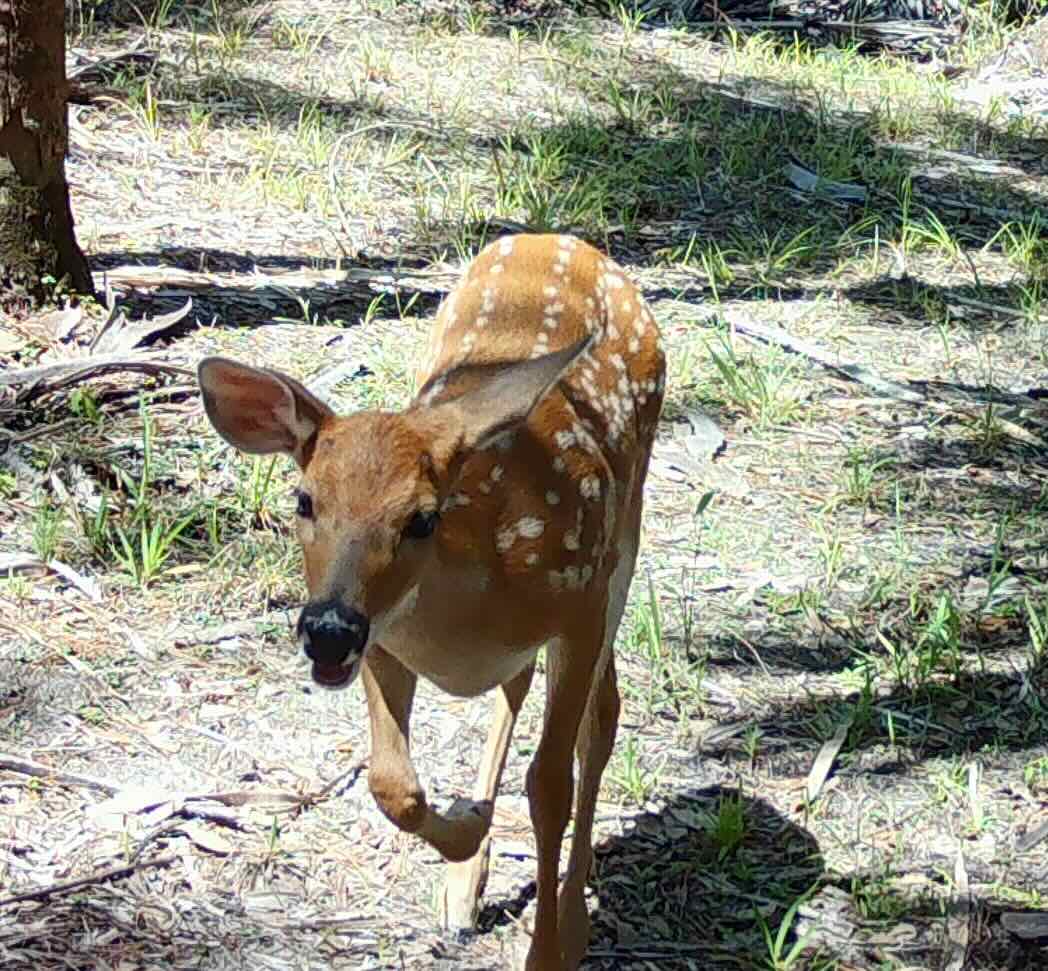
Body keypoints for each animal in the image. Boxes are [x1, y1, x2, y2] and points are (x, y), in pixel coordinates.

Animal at [197, 235, 666, 971]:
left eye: (420, 518)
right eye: (304, 499)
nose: (327, 630)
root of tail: (565, 239)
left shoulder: (580, 604)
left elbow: (551, 784)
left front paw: (548, 948)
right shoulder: (385, 638)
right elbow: (391, 784)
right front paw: (469, 825)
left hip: (626, 532)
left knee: (603, 716)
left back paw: (569, 914)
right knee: (517, 685)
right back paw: (464, 887)